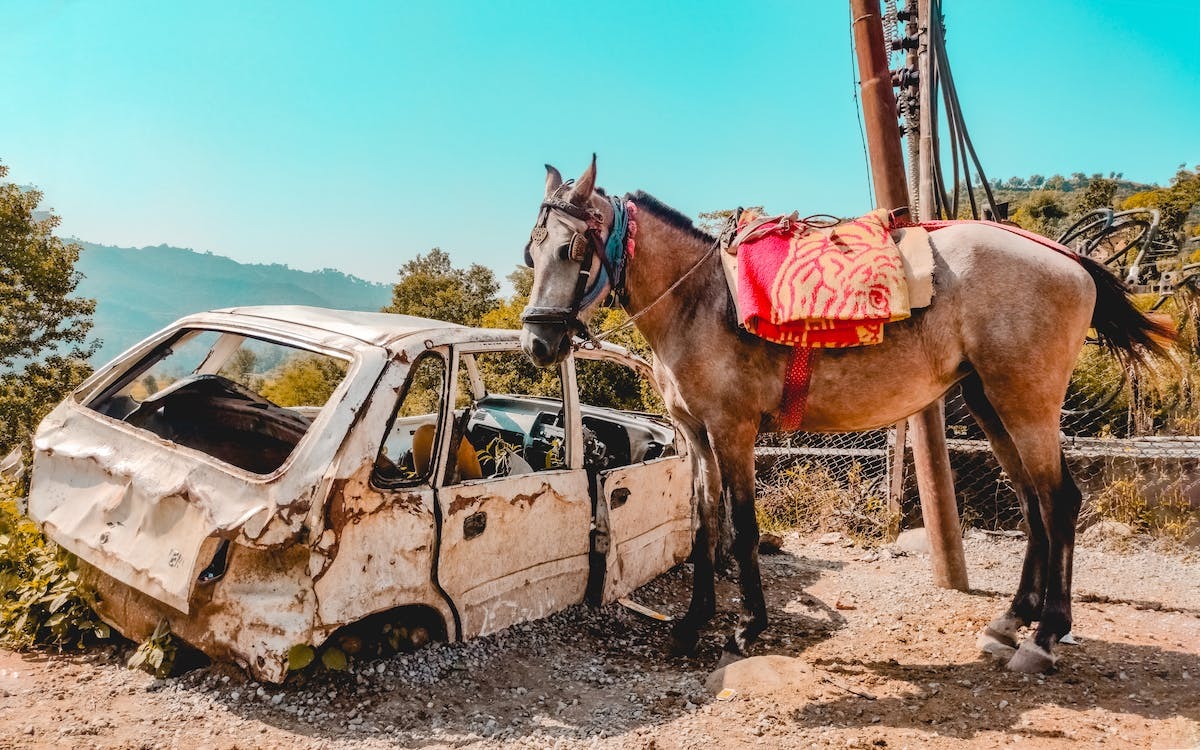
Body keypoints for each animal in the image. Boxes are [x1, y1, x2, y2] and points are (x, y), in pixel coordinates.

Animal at [518, 154, 1171, 672]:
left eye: (572, 248)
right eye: (531, 252)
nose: (538, 343)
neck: (698, 301)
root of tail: (1070, 259)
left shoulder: (733, 432)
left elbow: (744, 527)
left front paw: (748, 627)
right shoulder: (697, 437)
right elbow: (704, 526)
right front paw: (691, 624)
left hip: (1027, 403)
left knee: (1059, 502)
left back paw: (1046, 635)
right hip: (993, 404)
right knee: (1034, 504)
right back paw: (1010, 623)